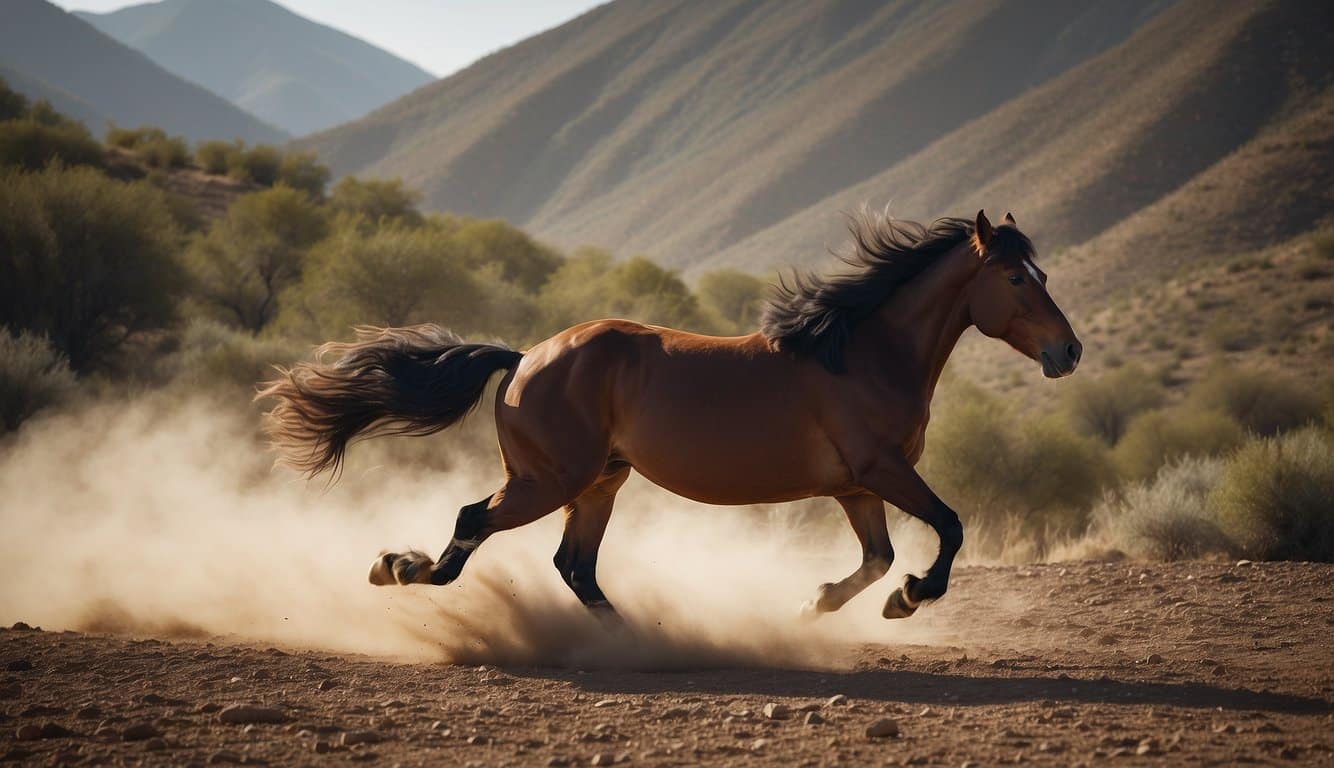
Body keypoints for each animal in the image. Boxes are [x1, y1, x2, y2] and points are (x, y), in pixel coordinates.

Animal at [254, 210, 1077, 624]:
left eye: (1043, 272)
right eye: (1014, 277)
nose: (1068, 351)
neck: (864, 354)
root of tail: (524, 358)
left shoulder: (856, 485)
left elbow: (877, 559)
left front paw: (821, 606)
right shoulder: (883, 469)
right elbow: (950, 528)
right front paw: (911, 599)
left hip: (600, 483)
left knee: (573, 565)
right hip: (549, 480)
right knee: (471, 525)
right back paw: (397, 567)